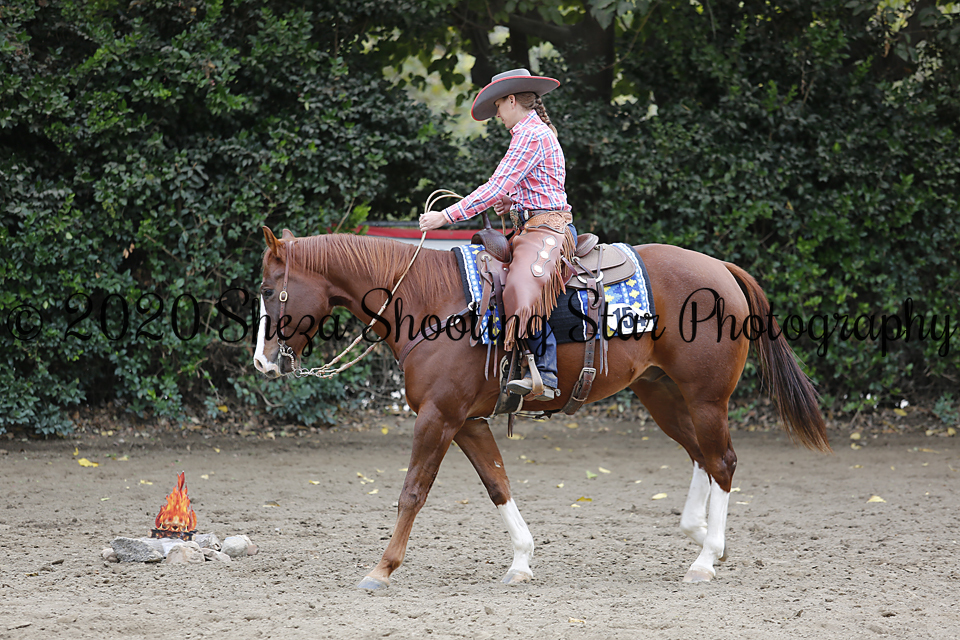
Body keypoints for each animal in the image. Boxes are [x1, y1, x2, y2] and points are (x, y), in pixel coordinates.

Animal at [254, 227, 830, 589]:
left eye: (267, 289)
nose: (262, 362)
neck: (431, 300)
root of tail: (722, 270)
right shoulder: (466, 421)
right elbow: (498, 484)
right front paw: (522, 561)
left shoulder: (438, 417)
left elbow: (413, 491)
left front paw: (381, 569)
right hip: (662, 393)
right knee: (701, 457)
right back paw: (700, 533)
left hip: (707, 398)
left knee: (723, 462)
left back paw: (707, 559)